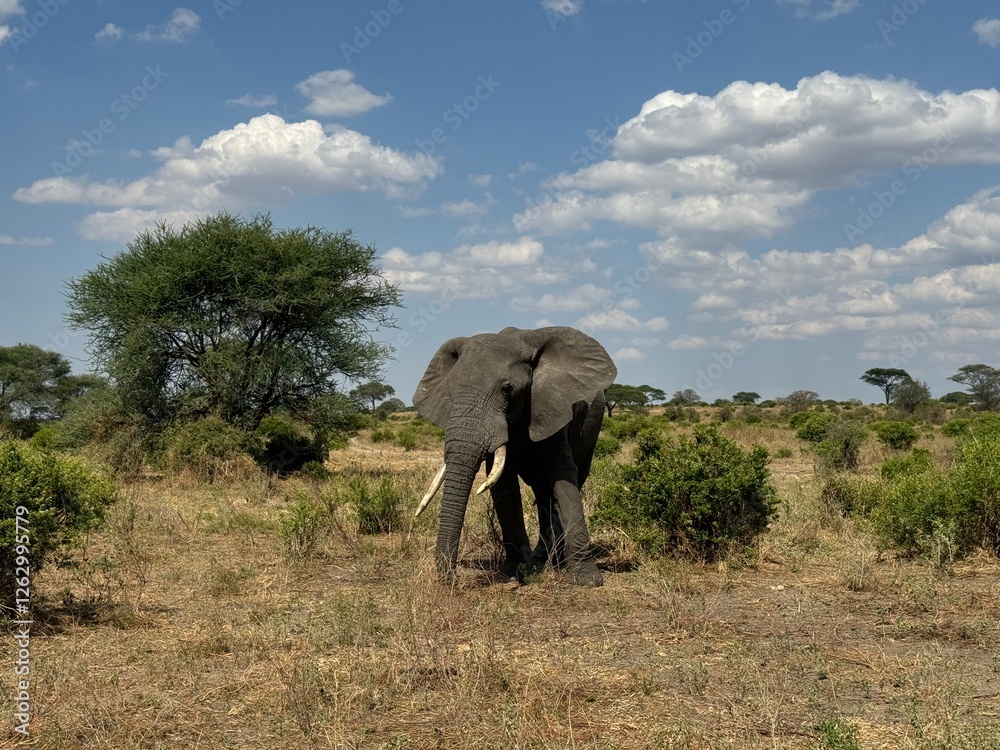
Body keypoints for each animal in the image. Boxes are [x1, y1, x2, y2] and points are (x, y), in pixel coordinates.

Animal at [412, 326, 617, 586]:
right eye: (449, 392)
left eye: (506, 389)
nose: (451, 579)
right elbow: (504, 486)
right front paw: (517, 572)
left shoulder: (552, 409)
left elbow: (563, 477)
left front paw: (586, 579)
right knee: (542, 493)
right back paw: (543, 556)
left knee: (570, 481)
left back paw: (556, 560)